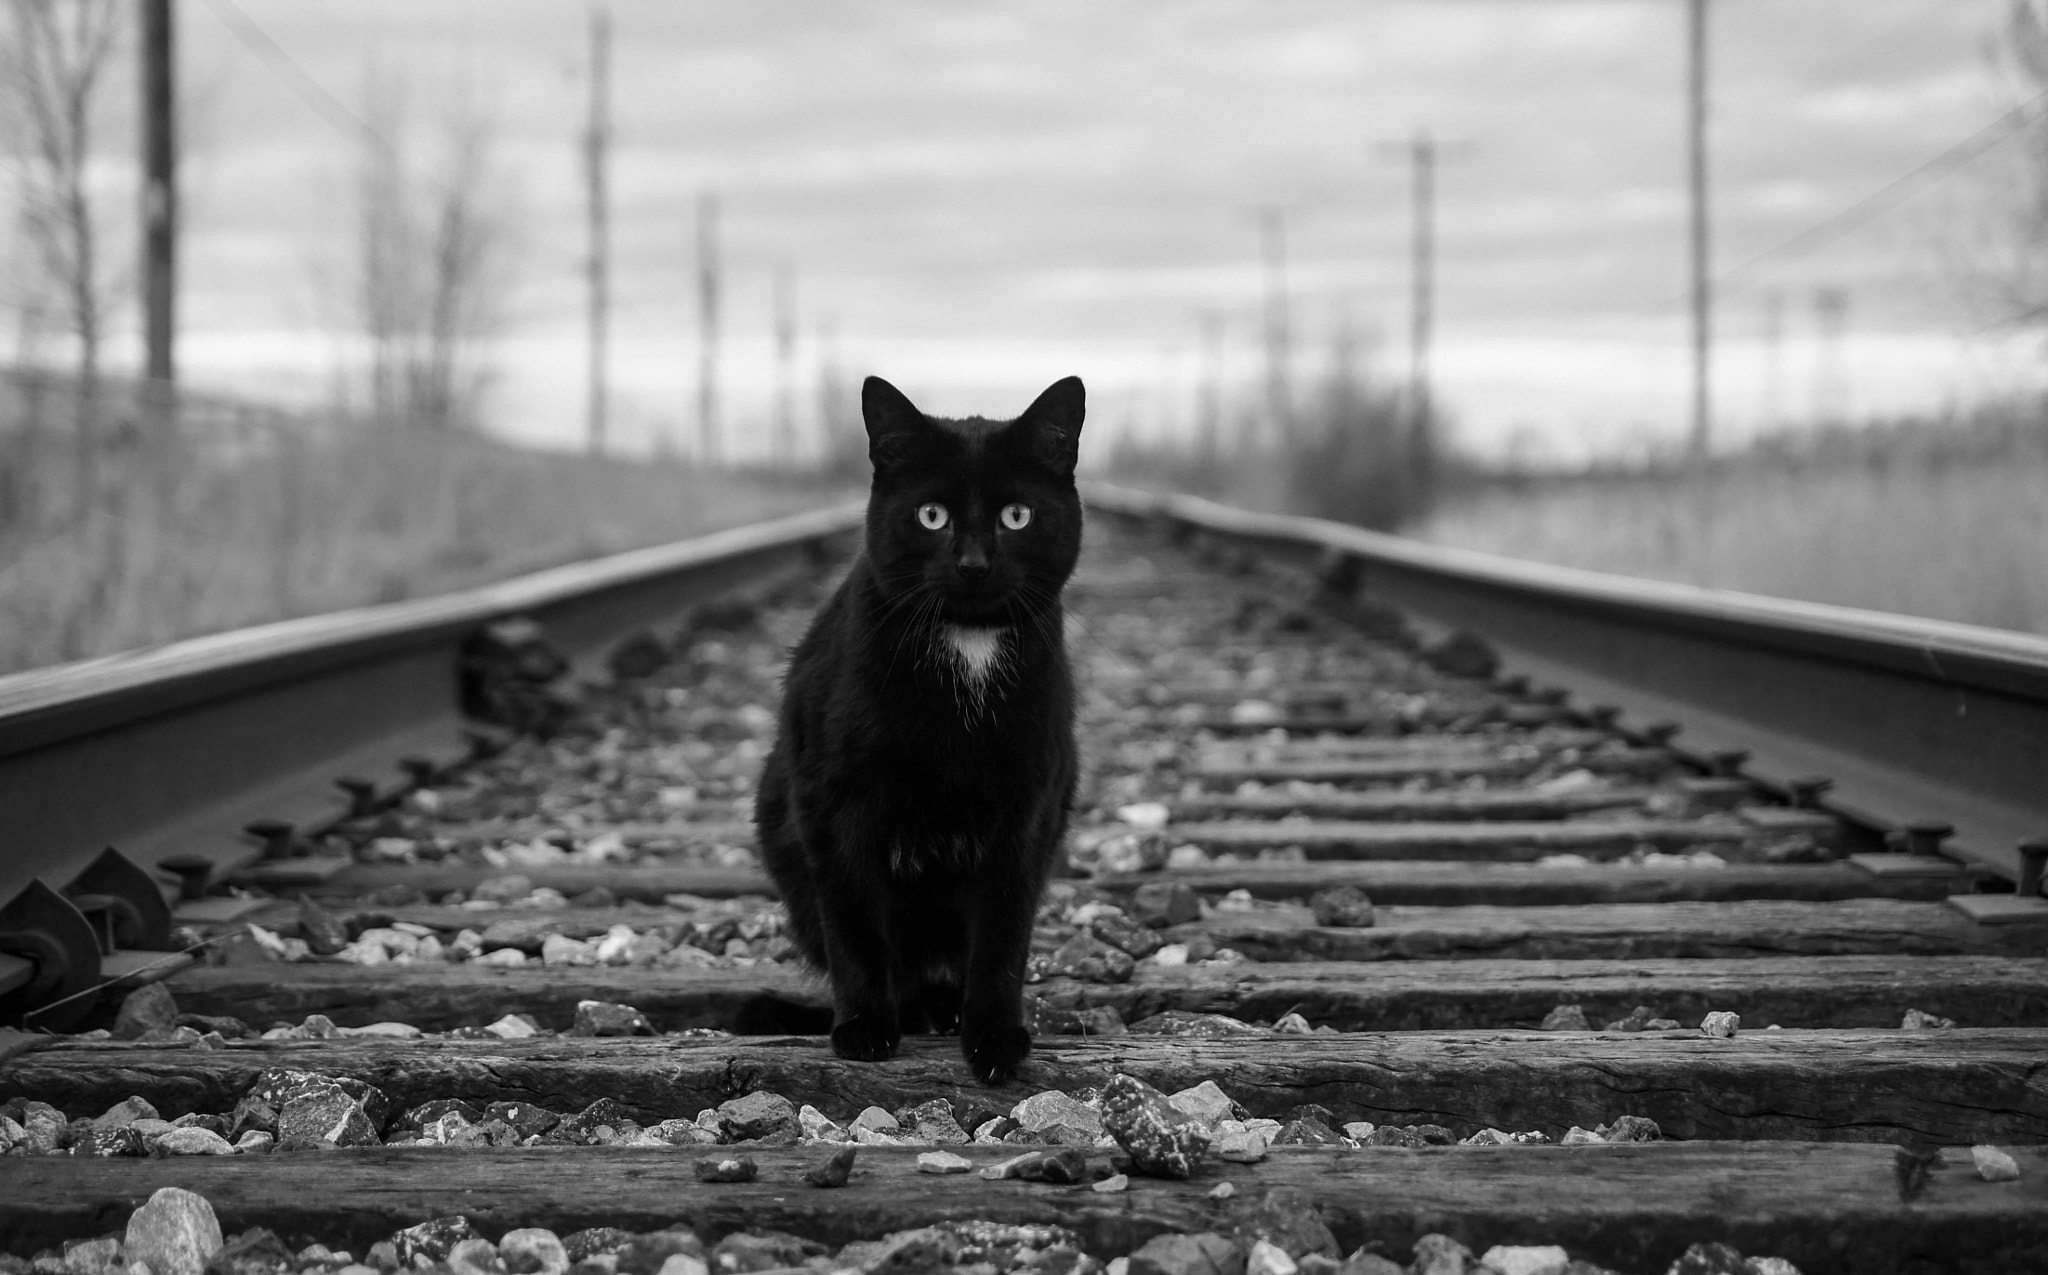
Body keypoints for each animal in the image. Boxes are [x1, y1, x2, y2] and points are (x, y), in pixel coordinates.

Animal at [757, 374, 1089, 1080]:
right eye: (931, 515)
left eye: (1016, 516)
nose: (973, 563)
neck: (969, 646)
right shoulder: (834, 800)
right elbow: (855, 923)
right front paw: (865, 1029)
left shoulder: (1029, 806)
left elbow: (1003, 933)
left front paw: (994, 1039)